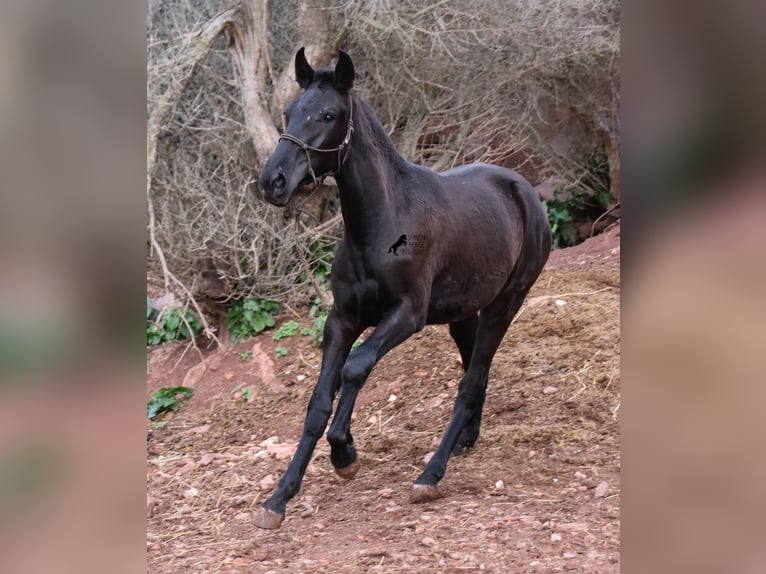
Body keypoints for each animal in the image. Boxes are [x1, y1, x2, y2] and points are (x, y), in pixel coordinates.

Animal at [256, 49, 552, 532]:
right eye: (288, 111)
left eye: (329, 114)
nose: (273, 181)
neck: (380, 225)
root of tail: (523, 188)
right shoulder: (343, 319)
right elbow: (318, 402)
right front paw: (278, 498)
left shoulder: (406, 315)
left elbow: (355, 369)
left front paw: (345, 454)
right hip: (463, 314)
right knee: (475, 371)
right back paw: (465, 440)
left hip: (504, 306)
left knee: (470, 381)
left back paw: (431, 474)